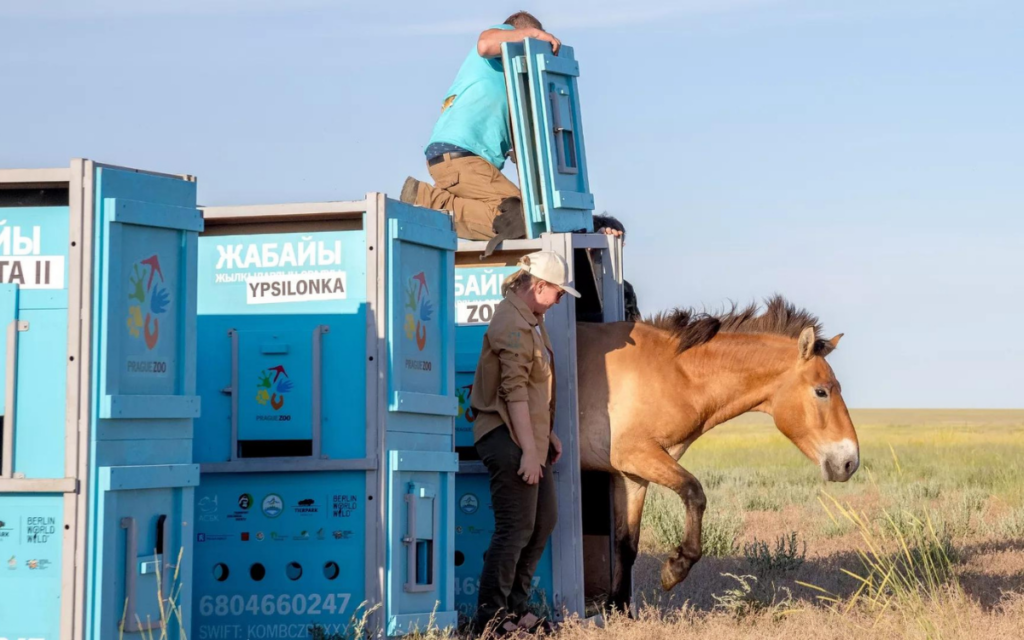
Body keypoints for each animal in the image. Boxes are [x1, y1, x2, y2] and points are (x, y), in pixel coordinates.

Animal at [577, 296, 856, 606]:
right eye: (821, 391)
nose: (849, 461)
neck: (674, 374)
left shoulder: (631, 476)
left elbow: (625, 544)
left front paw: (616, 606)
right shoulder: (638, 455)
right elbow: (694, 492)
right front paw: (676, 568)